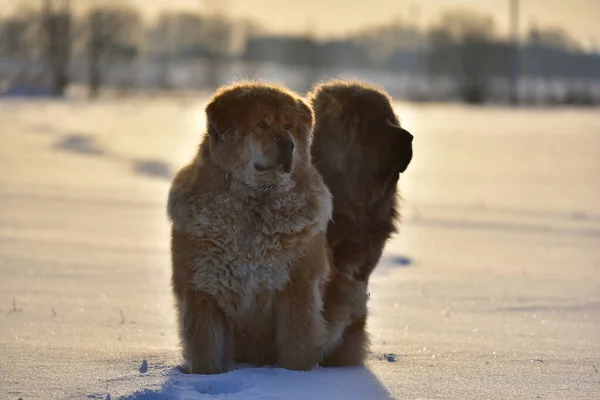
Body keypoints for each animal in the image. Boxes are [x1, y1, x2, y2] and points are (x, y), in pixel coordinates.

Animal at [169, 81, 332, 376]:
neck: (253, 204)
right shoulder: (201, 291)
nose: (288, 144)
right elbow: (205, 353)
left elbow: (296, 349)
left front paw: (298, 379)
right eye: (262, 124)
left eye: (288, 126)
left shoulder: (297, 290)